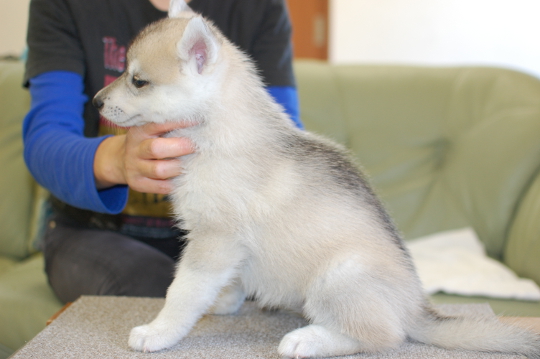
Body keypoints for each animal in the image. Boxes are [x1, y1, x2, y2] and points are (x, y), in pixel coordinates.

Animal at [93, 1, 540, 358]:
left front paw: (159, 331)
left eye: (138, 80)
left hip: (336, 278)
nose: (96, 101)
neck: (215, 129)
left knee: (382, 336)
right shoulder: (225, 247)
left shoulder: (214, 239)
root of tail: (415, 308)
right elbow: (222, 282)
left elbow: (181, 291)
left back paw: (310, 340)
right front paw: (223, 300)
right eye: (124, 71)